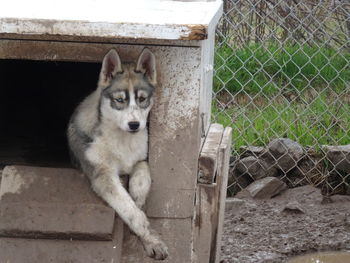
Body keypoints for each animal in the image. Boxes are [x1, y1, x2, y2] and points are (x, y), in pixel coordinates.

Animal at [68, 48, 168, 260]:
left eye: (142, 99)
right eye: (120, 100)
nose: (134, 125)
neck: (122, 139)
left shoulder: (141, 158)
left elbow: (142, 175)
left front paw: (138, 195)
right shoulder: (102, 174)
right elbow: (131, 212)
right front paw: (149, 238)